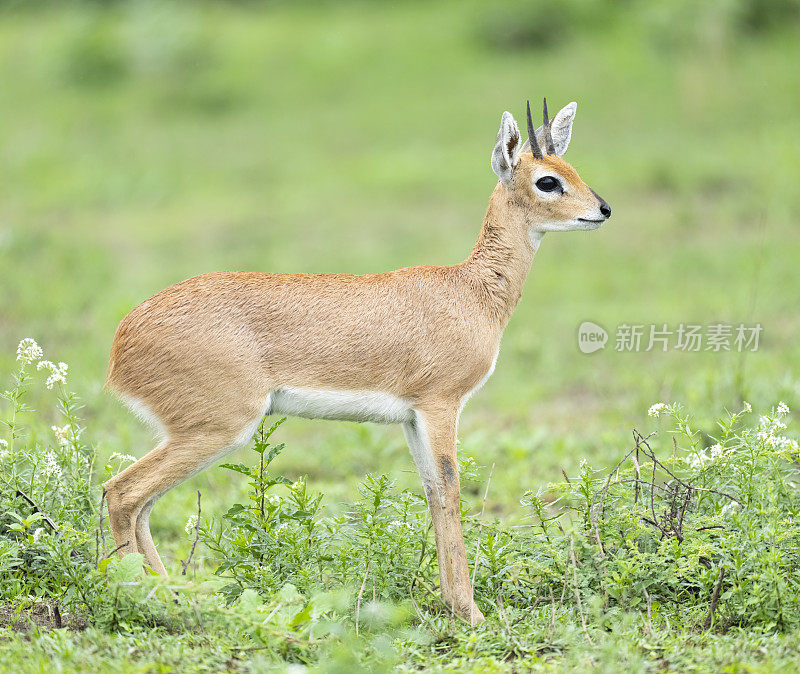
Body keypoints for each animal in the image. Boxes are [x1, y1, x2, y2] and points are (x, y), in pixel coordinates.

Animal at [106, 97, 612, 624]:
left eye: (571, 168)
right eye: (547, 181)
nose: (602, 209)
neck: (471, 291)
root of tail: (124, 337)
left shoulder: (412, 417)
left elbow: (433, 491)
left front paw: (451, 604)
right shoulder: (441, 404)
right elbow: (452, 488)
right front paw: (470, 613)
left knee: (139, 504)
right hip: (219, 428)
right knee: (121, 493)